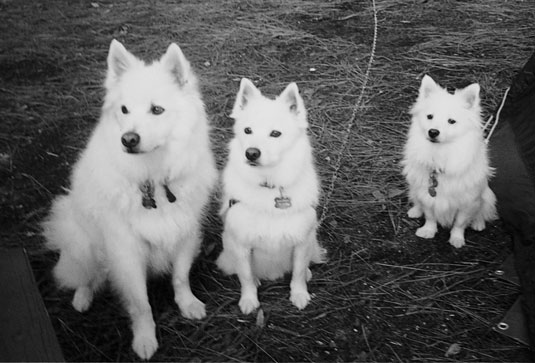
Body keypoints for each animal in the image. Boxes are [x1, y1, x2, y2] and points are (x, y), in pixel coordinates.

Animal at [41, 39, 218, 358]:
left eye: (157, 110)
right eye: (124, 110)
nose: (128, 139)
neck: (154, 180)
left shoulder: (185, 232)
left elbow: (180, 277)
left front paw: (188, 304)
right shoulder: (127, 251)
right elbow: (140, 304)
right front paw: (145, 339)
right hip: (83, 242)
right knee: (84, 274)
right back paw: (83, 297)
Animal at [216, 79, 324, 316]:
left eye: (275, 133)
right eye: (247, 130)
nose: (251, 153)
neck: (269, 185)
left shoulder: (302, 241)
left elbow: (298, 272)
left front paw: (299, 295)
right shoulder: (241, 244)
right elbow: (246, 276)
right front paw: (249, 300)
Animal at [406, 75, 498, 249]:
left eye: (451, 121)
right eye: (429, 117)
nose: (433, 132)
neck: (441, 154)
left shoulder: (467, 202)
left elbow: (460, 223)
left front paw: (456, 239)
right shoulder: (427, 196)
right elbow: (430, 215)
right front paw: (428, 231)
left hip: (485, 195)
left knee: (483, 209)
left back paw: (478, 222)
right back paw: (416, 210)